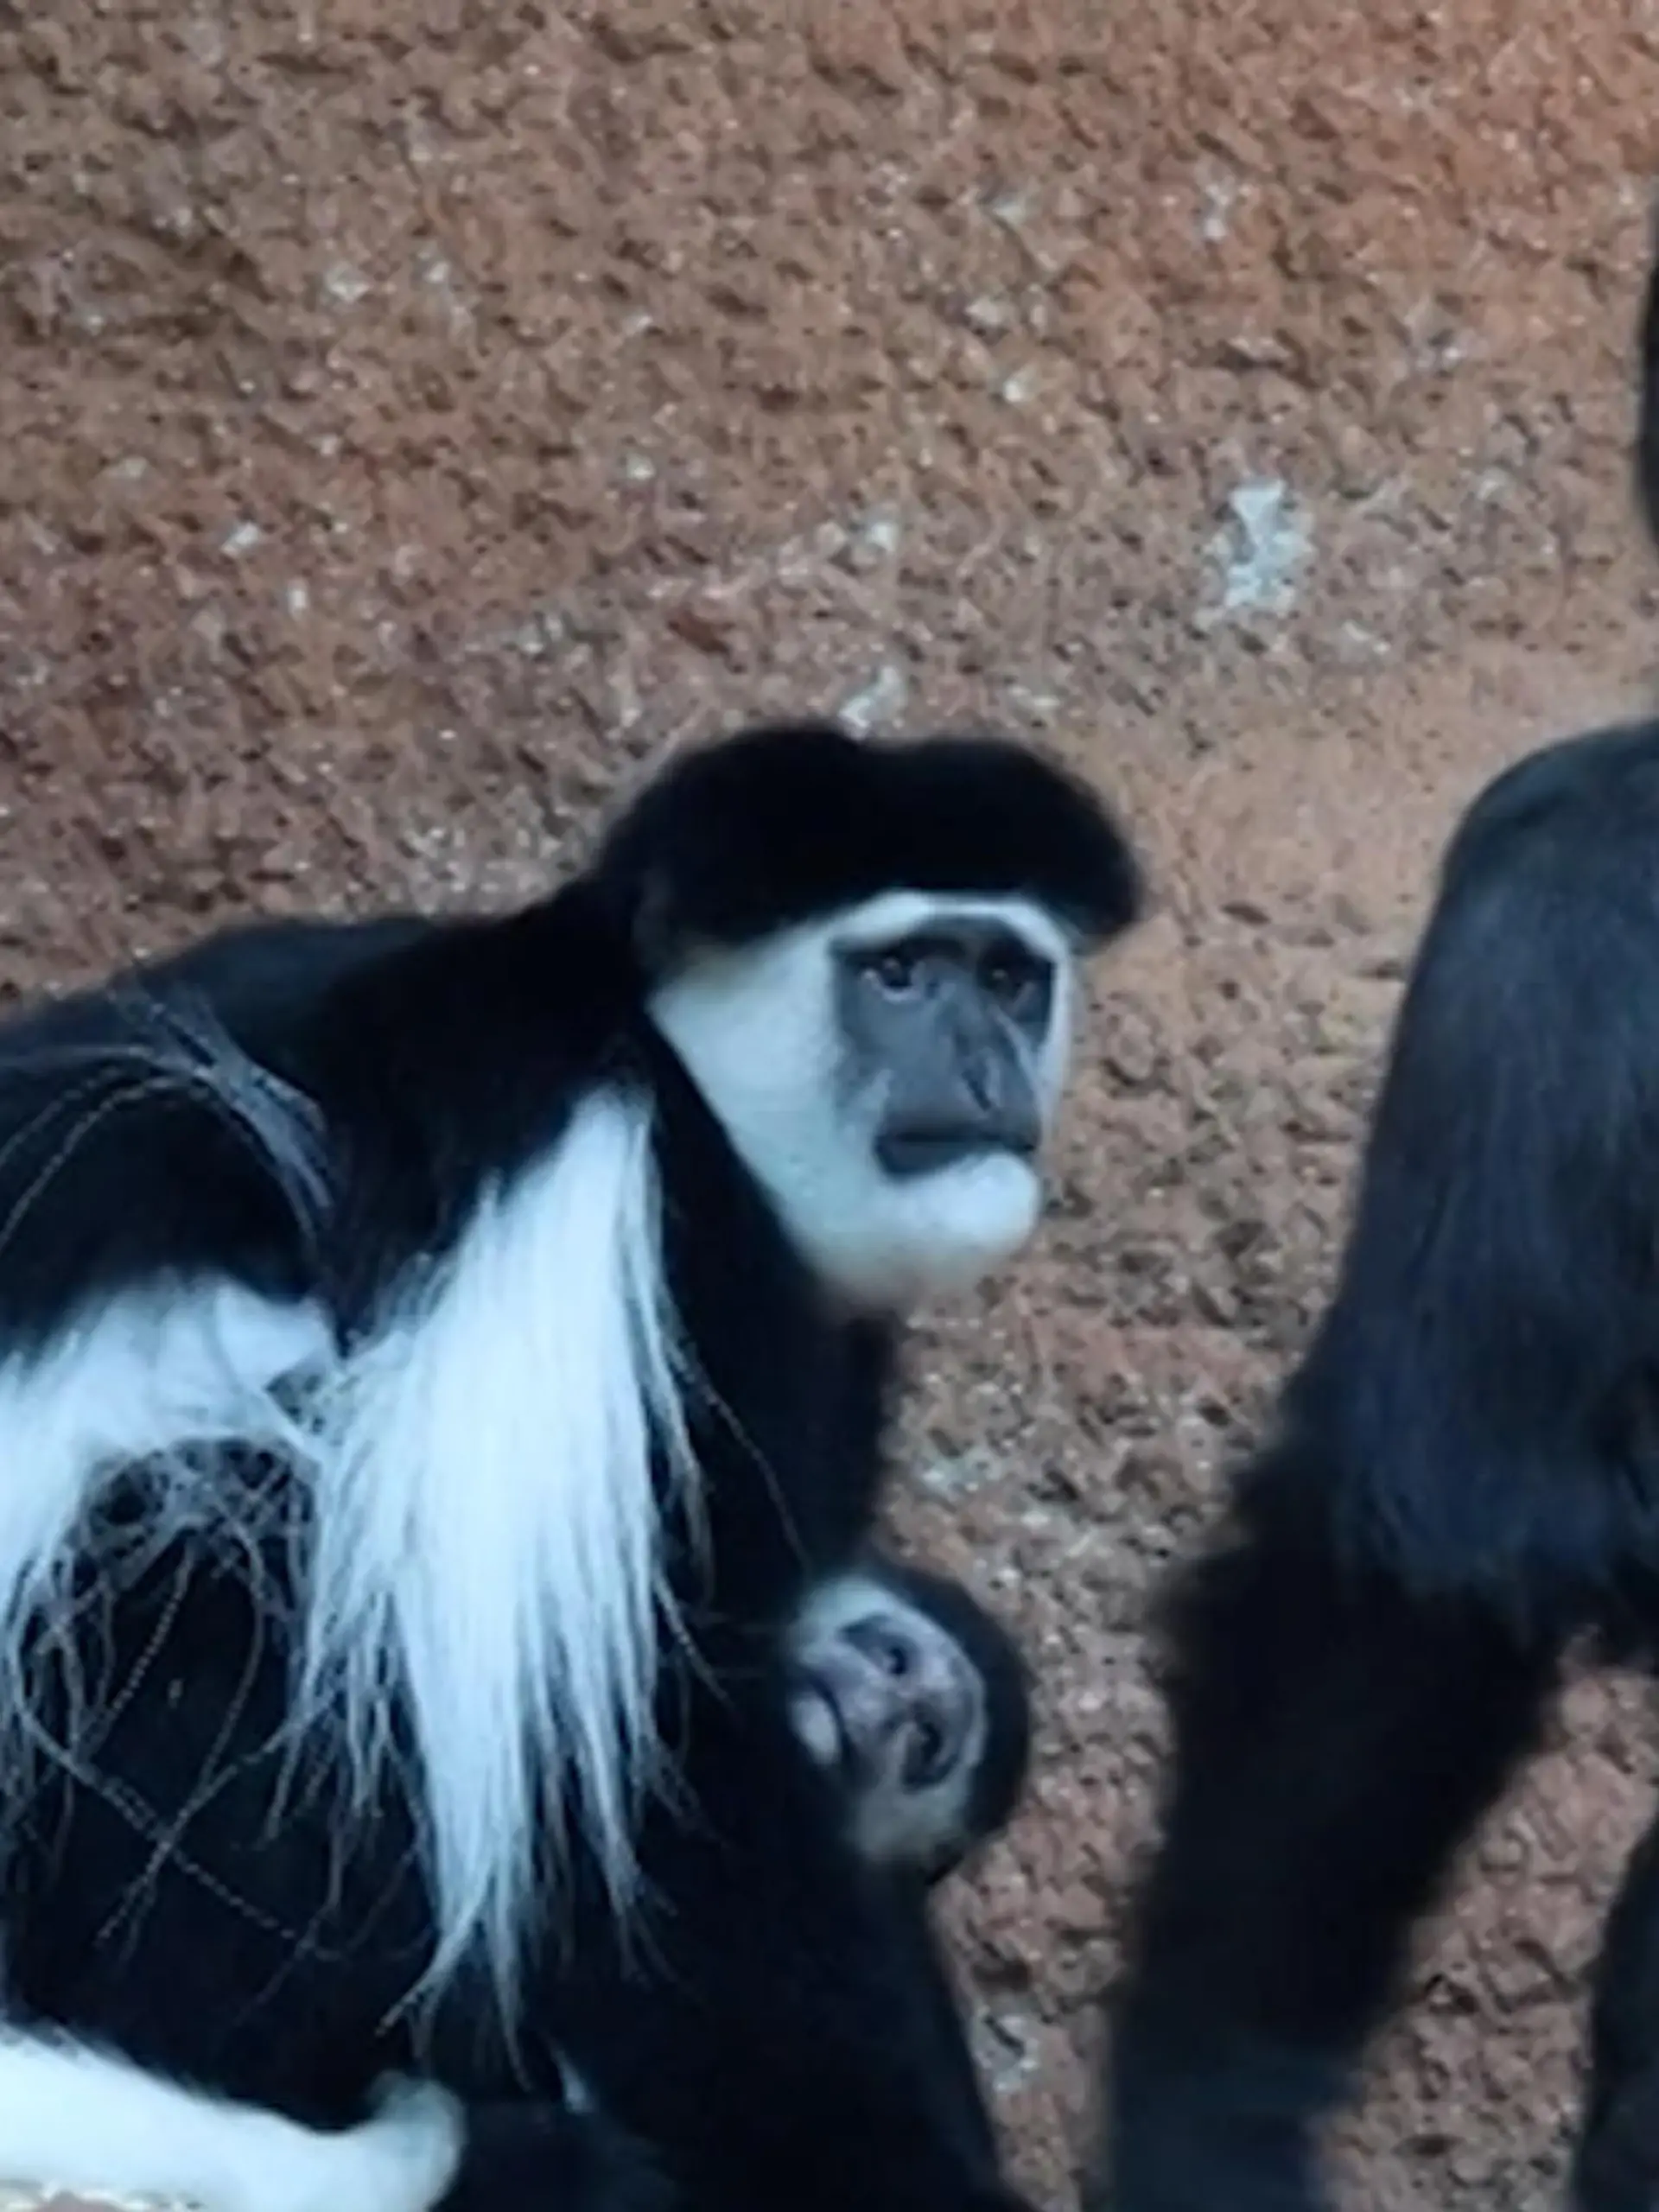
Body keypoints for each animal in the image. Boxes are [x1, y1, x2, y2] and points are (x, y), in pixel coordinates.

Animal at [0, 718, 1137, 2212]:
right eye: (900, 972)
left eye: (1010, 978)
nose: (988, 1074)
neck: (661, 1049)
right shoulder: (628, 1214)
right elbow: (650, 1789)